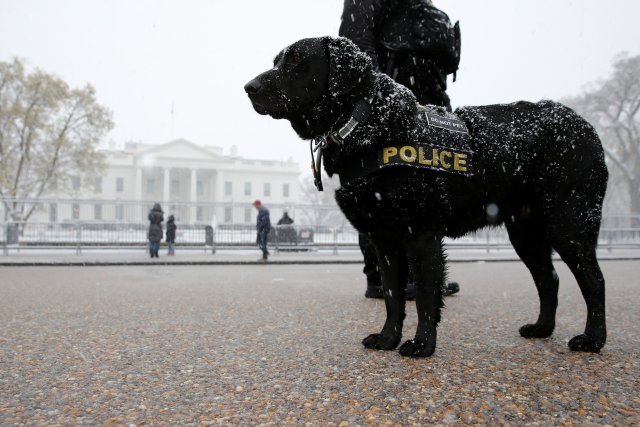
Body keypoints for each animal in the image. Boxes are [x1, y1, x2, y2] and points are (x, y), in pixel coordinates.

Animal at [242, 36, 608, 358]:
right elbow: (392, 297)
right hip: (525, 233)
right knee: (549, 280)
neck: (368, 123)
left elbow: (424, 296)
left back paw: (593, 339)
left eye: (296, 60)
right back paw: (542, 329)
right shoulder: (384, 241)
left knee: (594, 281)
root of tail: (585, 126)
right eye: (277, 61)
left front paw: (421, 345)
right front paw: (387, 339)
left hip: (568, 224)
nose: (249, 87)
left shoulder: (421, 236)